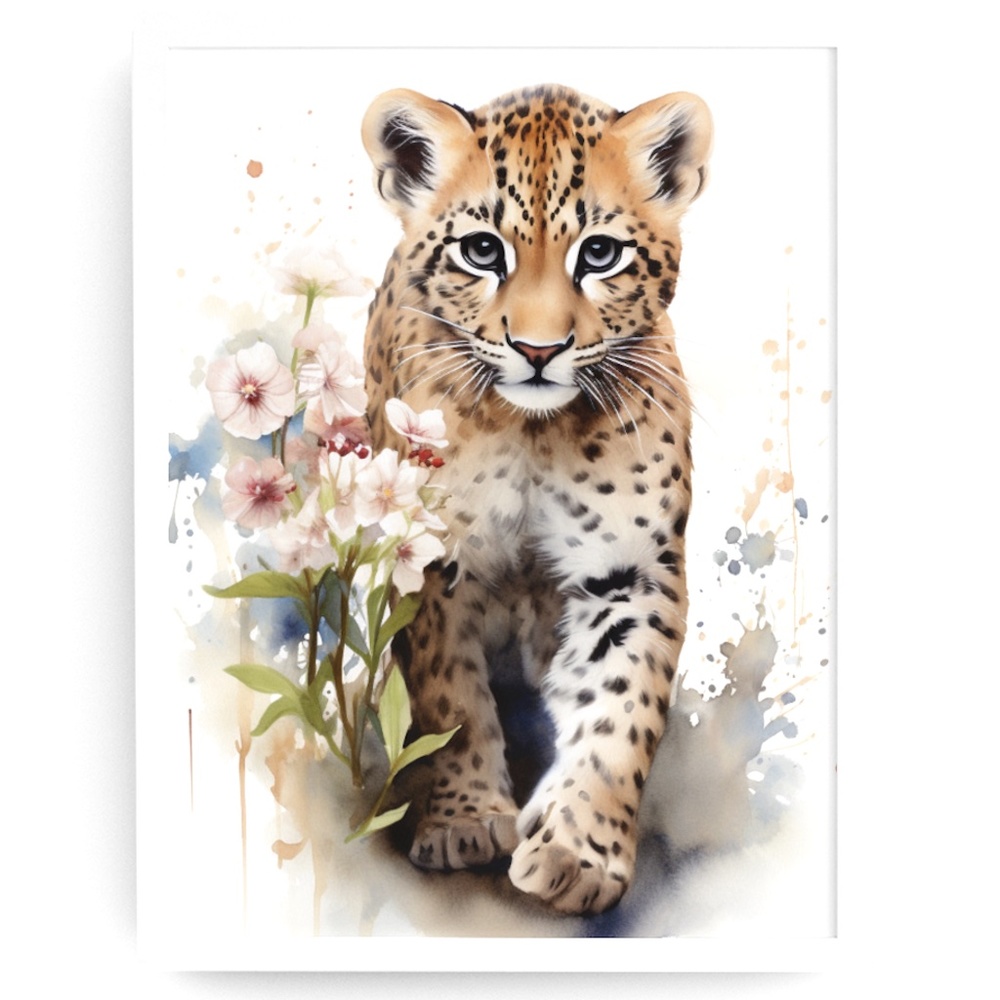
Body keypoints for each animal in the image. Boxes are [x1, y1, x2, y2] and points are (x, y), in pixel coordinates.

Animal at [360, 82, 712, 915]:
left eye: (601, 253)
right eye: (483, 250)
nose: (539, 351)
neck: (530, 430)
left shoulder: (630, 569)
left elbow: (620, 710)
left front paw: (579, 855)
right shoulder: (432, 564)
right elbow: (449, 700)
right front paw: (464, 822)